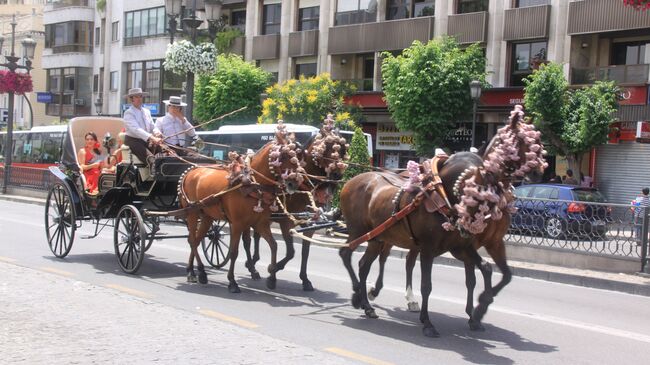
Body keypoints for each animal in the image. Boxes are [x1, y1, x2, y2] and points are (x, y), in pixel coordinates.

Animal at [177, 126, 304, 292]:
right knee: (192, 240)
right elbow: (234, 251)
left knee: (197, 240)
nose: (293, 183)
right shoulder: (238, 224)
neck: (252, 184)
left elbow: (273, 246)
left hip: (207, 216)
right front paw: (232, 282)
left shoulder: (260, 223)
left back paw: (196, 271)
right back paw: (195, 272)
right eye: (282, 156)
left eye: (297, 157)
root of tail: (190, 171)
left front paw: (271, 278)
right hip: (192, 213)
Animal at [240, 118, 346, 290]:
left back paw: (254, 262)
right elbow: (291, 252)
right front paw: (272, 272)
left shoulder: (310, 223)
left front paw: (305, 279)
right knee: (247, 240)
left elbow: (305, 251)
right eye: (328, 148)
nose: (337, 175)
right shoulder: (286, 222)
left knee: (256, 236)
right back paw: (252, 267)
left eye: (342, 150)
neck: (304, 188)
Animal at [336, 106, 544, 336]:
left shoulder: (473, 244)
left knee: (366, 264)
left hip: (377, 237)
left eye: (537, 140)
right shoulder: (431, 248)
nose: (539, 172)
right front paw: (428, 322)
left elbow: (492, 272)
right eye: (521, 140)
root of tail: (350, 181)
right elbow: (429, 285)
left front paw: (478, 310)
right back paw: (362, 294)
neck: (444, 195)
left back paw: (367, 303)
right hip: (359, 231)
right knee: (347, 254)